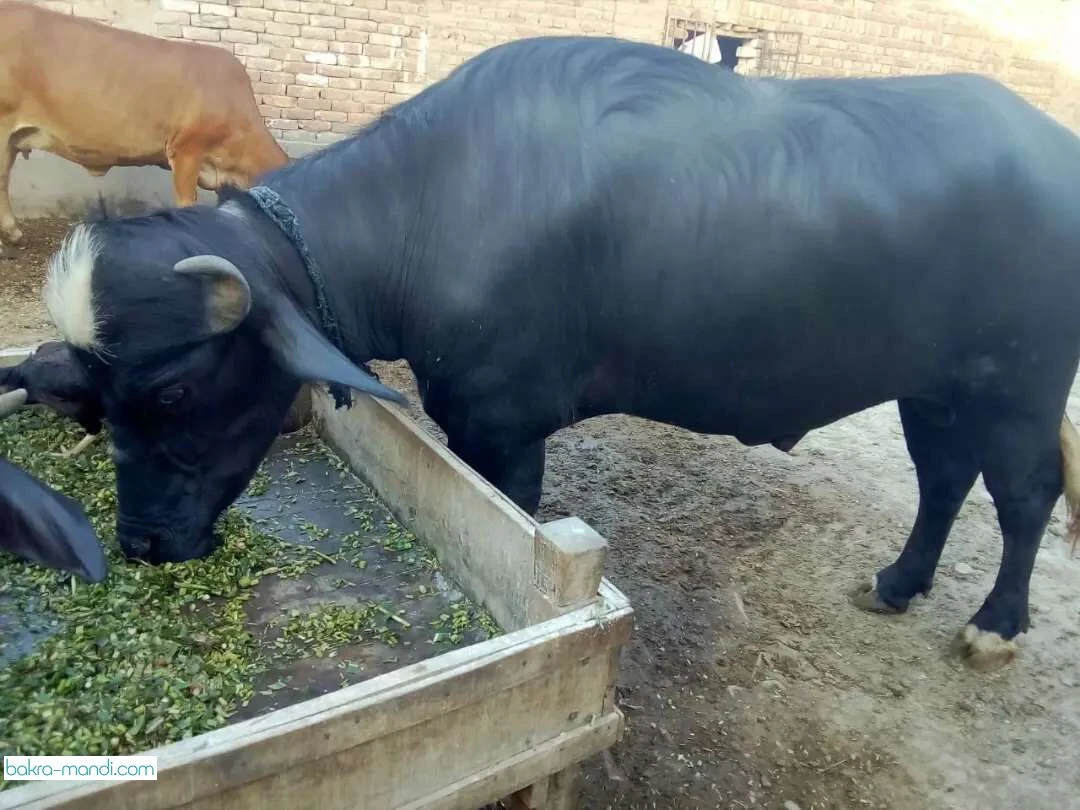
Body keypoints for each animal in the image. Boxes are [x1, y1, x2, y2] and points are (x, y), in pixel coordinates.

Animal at [10, 36, 1080, 673]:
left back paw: (994, 626)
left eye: (172, 390)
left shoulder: (502, 426)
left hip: (1021, 386)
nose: (143, 544)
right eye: (96, 397)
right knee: (944, 479)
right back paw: (898, 583)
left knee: (1024, 493)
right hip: (934, 387)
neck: (428, 206)